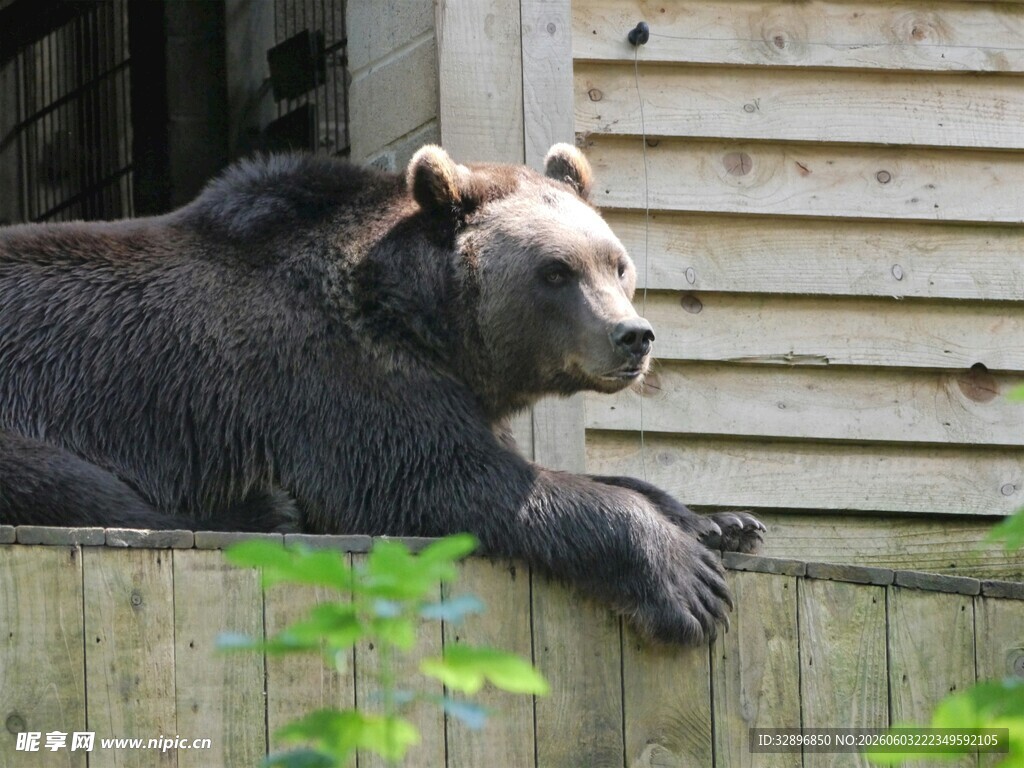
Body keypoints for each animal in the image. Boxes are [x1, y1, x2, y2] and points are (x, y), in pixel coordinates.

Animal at [0, 144, 764, 644]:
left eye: (616, 263)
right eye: (555, 271)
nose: (631, 335)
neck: (423, 321)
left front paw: (720, 522)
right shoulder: (334, 376)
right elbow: (444, 478)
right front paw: (687, 582)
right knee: (73, 484)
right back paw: (265, 508)